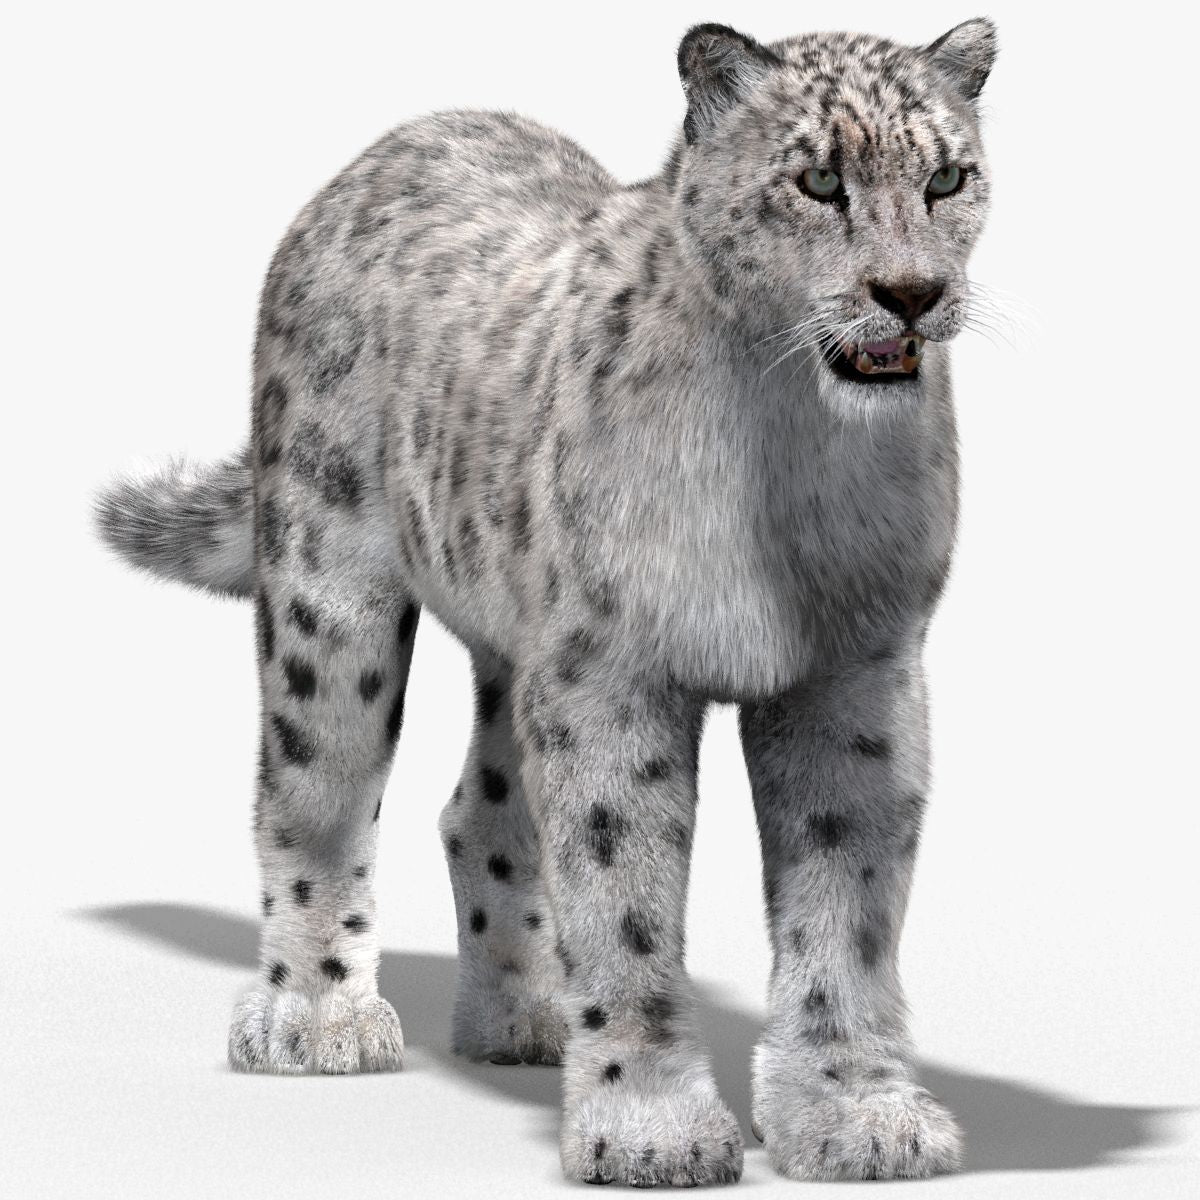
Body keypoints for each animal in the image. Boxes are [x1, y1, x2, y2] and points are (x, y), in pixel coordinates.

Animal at [95, 18, 998, 1186]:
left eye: (947, 178)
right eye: (817, 180)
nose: (911, 291)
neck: (793, 453)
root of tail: (394, 144)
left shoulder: (857, 676)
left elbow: (847, 909)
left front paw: (858, 1116)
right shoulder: (614, 674)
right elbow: (624, 899)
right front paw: (651, 1129)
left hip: (522, 648)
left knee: (481, 808)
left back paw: (522, 1020)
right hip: (330, 598)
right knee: (312, 793)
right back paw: (317, 1019)